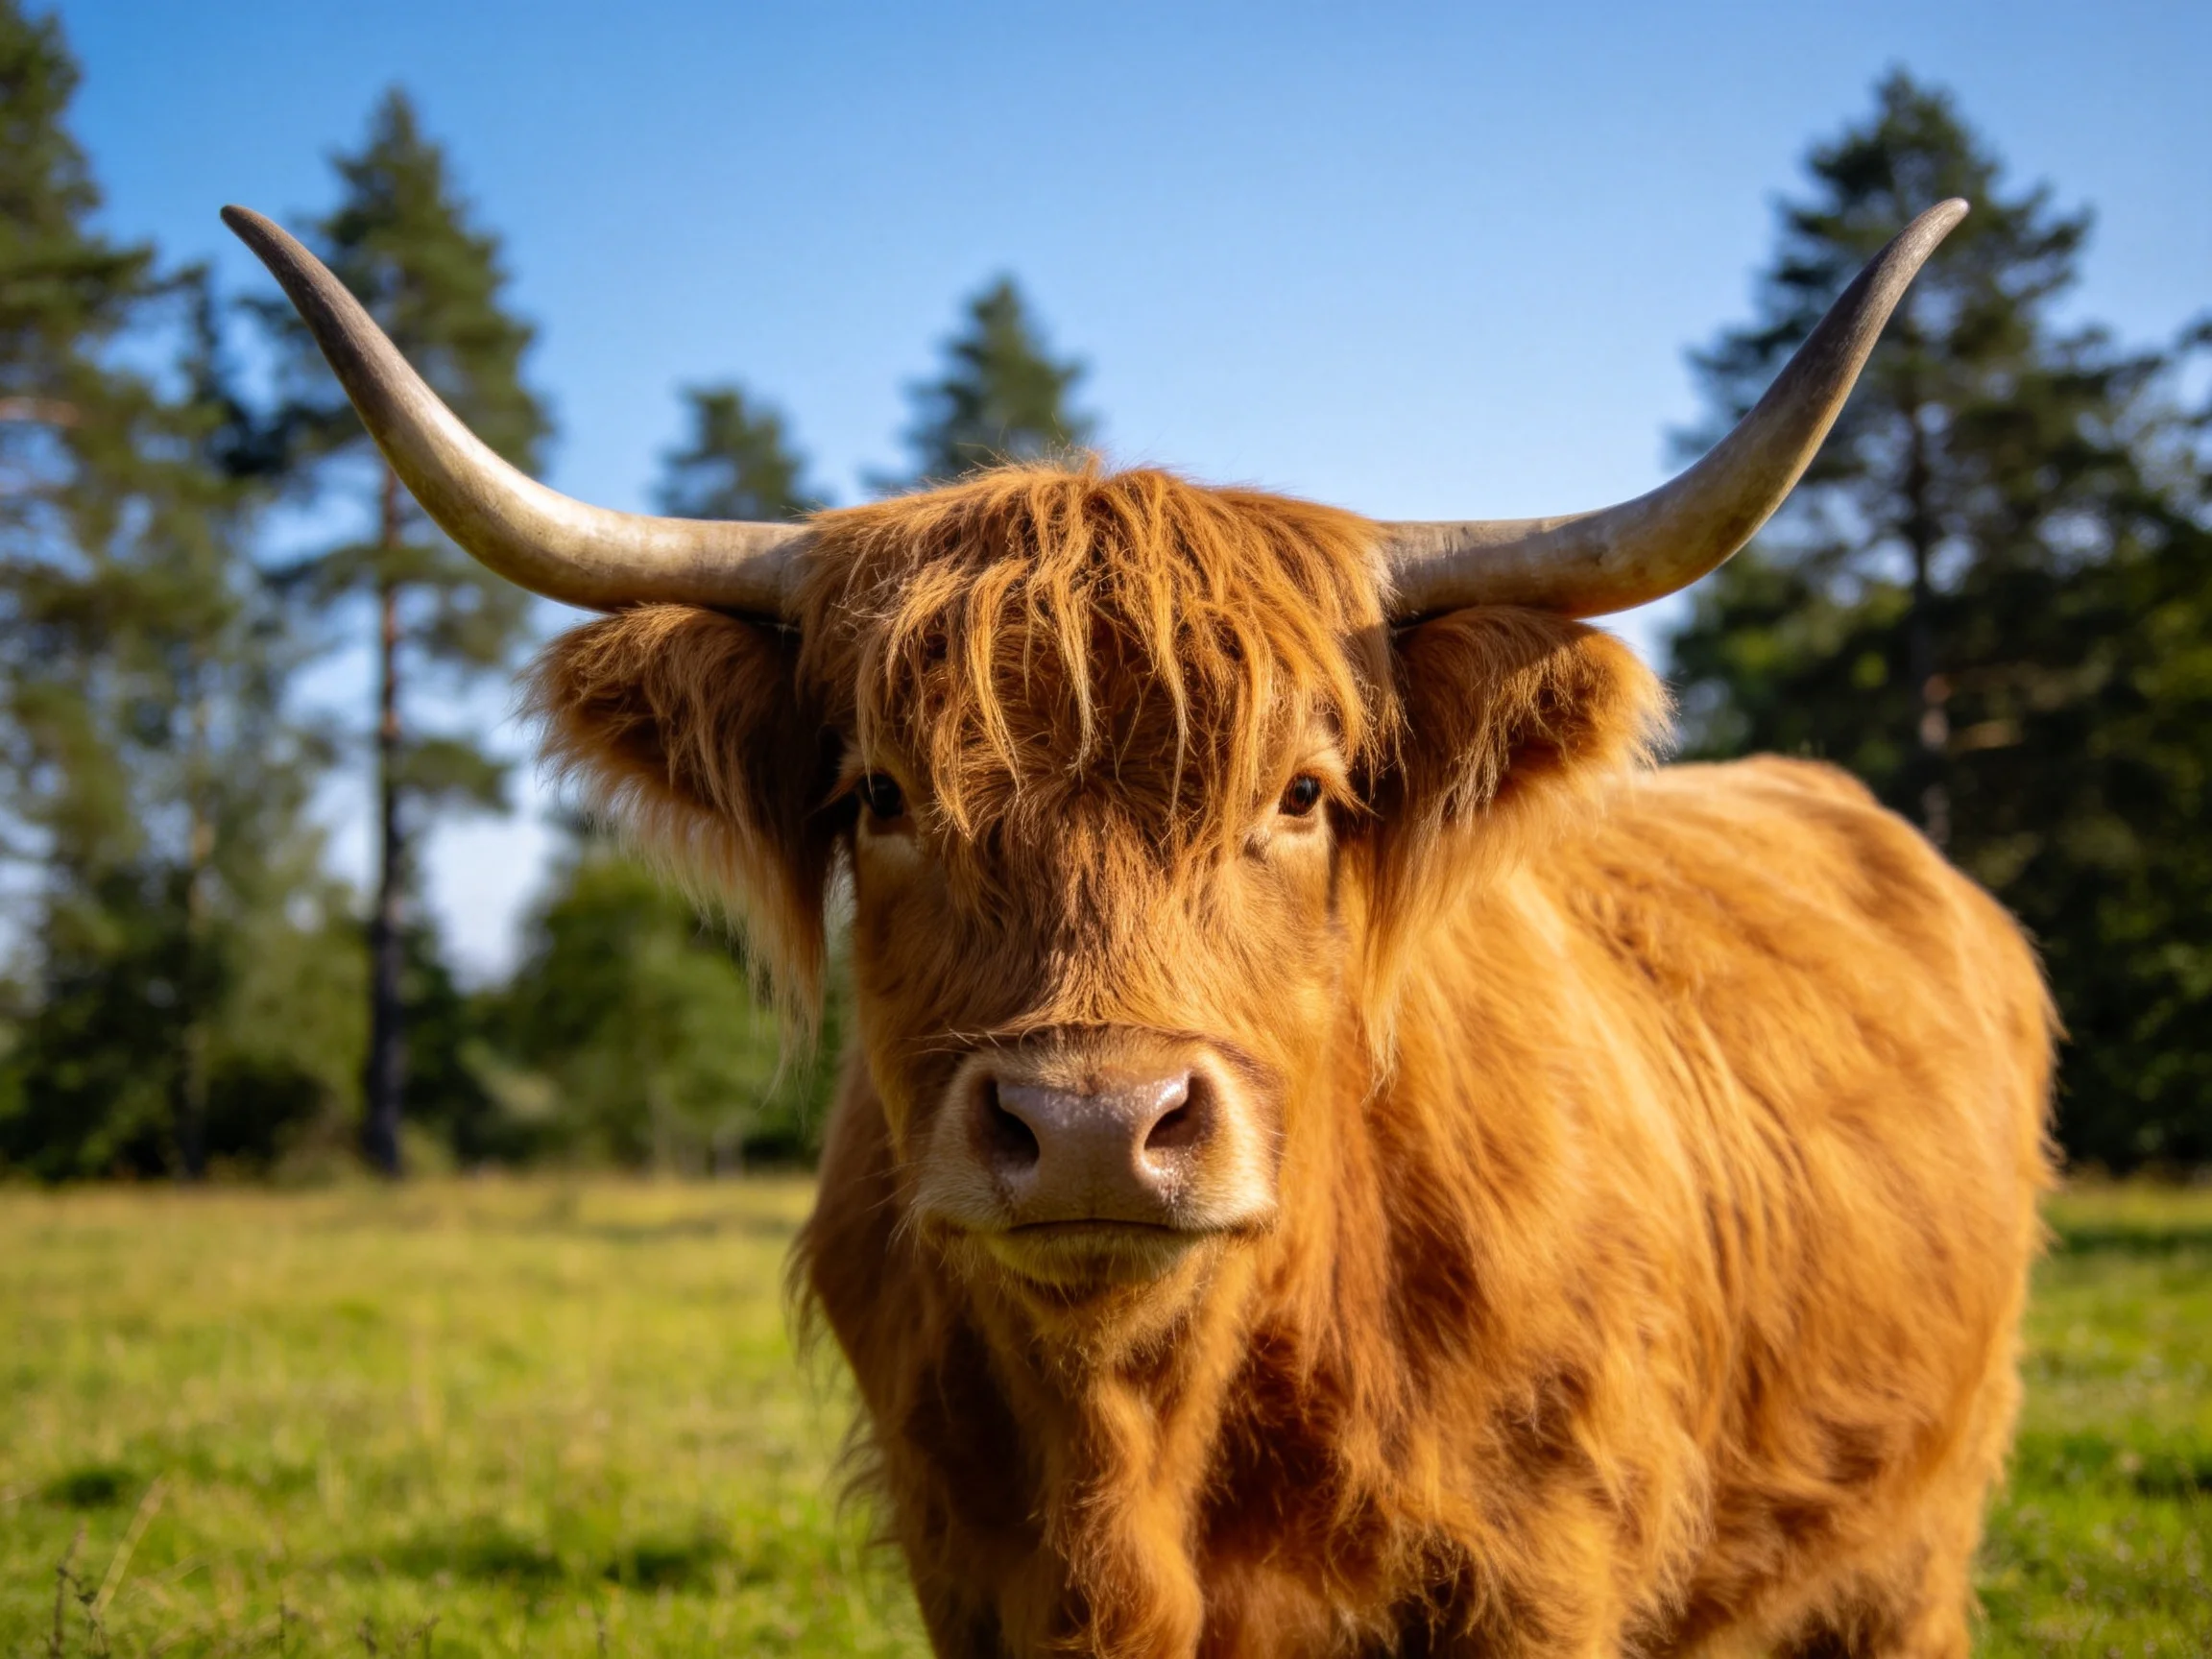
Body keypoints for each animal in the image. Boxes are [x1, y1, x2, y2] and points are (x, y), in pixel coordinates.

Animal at [230, 198, 2052, 1658]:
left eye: (1303, 794)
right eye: (880, 793)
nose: (1095, 1126)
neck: (1136, 1449)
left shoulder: (1546, 1572)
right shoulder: (965, 1571)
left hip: (1912, 1542)